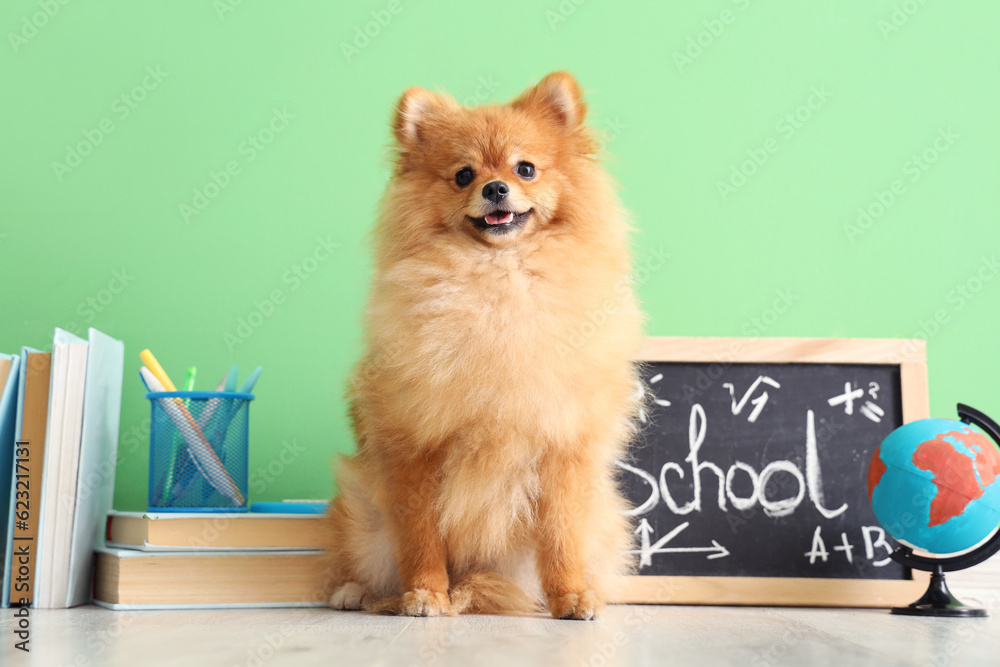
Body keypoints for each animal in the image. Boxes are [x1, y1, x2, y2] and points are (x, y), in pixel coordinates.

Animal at [324, 73, 644, 620]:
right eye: (462, 175)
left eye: (526, 169)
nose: (495, 188)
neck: (498, 282)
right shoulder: (415, 448)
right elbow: (421, 538)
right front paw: (425, 594)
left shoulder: (563, 448)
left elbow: (562, 538)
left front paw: (570, 596)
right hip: (364, 511)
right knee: (370, 562)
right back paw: (359, 593)